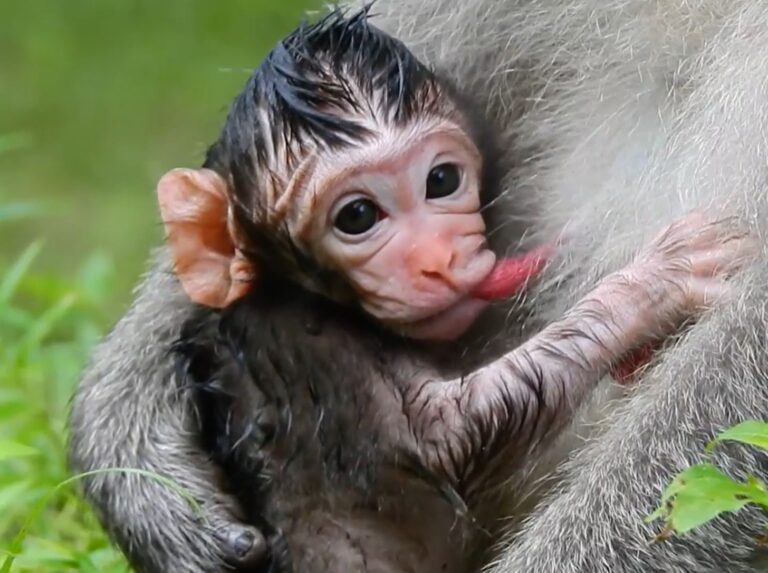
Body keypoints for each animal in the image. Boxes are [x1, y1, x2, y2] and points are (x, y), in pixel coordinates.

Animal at [67, 1, 768, 572]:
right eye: (357, 217)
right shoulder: (327, 355)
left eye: (442, 181)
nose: (441, 261)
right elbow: (450, 430)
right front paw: (127, 444)